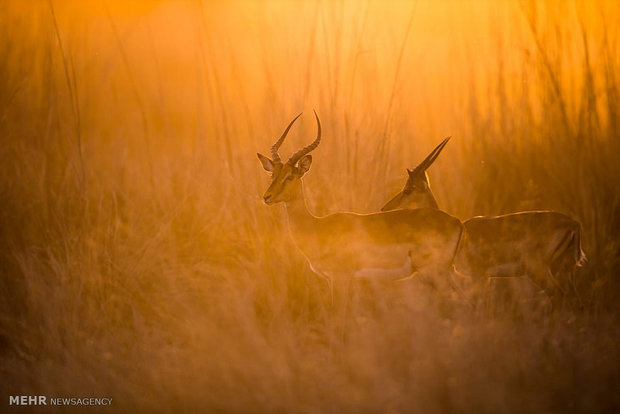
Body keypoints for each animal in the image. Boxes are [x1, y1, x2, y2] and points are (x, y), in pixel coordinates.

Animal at [256, 113, 464, 308]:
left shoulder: (340, 278)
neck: (316, 225)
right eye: (272, 175)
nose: (267, 197)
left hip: (436, 273)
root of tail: (457, 222)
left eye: (289, 176)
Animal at [378, 137, 588, 302]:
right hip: (564, 270)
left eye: (407, 190)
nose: (384, 208)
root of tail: (574, 223)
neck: (462, 233)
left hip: (539, 271)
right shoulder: (485, 278)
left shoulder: (478, 275)